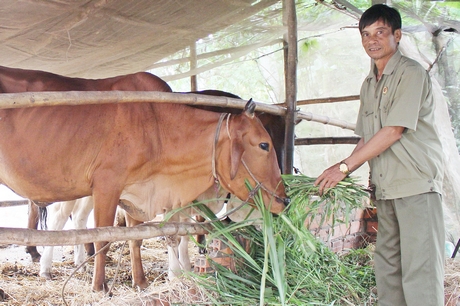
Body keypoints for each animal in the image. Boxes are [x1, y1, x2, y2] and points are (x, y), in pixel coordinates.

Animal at [0, 65, 288, 292]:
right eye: (264, 145)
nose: (284, 201)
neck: (157, 125)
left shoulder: (136, 192)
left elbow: (136, 237)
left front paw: (140, 282)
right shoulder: (108, 185)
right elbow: (103, 237)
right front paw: (100, 287)